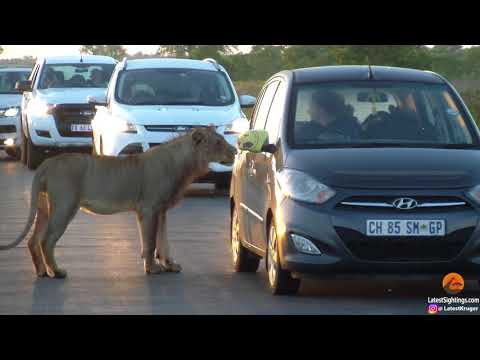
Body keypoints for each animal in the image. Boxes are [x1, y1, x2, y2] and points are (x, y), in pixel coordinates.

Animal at [0, 126, 236, 278]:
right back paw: (56, 272)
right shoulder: (148, 208)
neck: (186, 163)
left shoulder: (161, 211)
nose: (234, 151)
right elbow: (150, 241)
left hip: (44, 208)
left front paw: (170, 265)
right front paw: (152, 268)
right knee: (46, 240)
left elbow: (164, 240)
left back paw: (41, 272)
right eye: (218, 142)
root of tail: (47, 163)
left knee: (33, 240)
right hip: (64, 207)